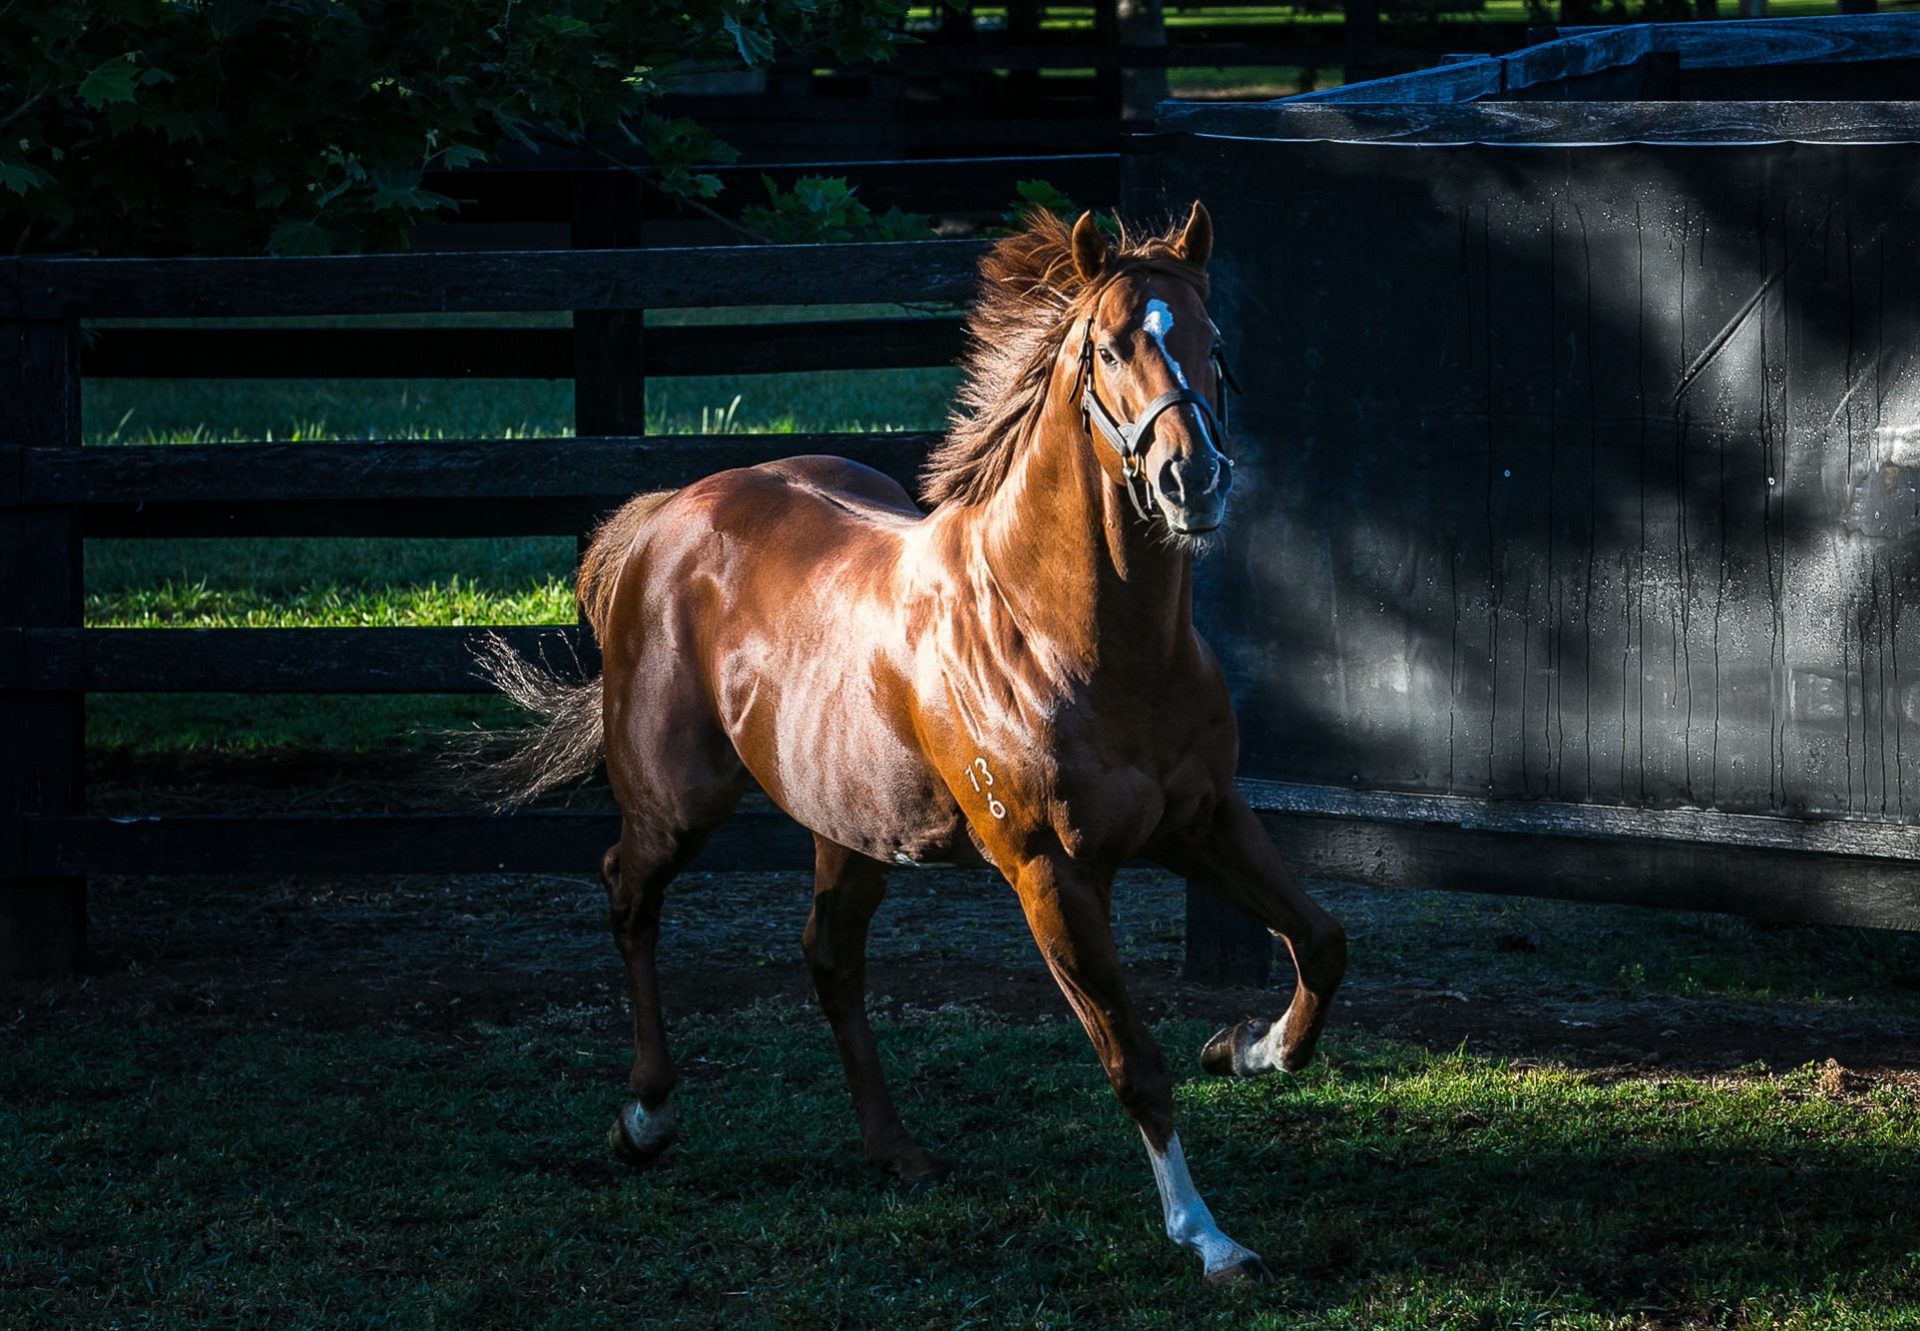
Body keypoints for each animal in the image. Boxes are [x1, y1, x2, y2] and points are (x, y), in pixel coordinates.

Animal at [483, 202, 1351, 1282]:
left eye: (1215, 343)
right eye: (1111, 346)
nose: (1193, 479)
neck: (1069, 635)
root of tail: (666, 513)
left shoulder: (1204, 820)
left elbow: (1320, 940)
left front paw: (1248, 1046)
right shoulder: (1051, 871)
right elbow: (1133, 1060)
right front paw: (1208, 1235)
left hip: (849, 826)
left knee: (828, 954)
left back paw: (894, 1149)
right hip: (680, 801)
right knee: (627, 891)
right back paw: (645, 1116)